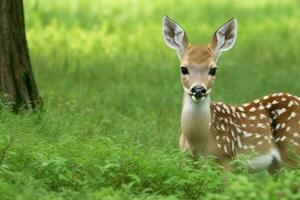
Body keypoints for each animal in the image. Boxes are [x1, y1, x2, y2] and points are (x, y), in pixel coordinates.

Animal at [163, 16, 298, 173]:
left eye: (213, 70)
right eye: (183, 69)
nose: (198, 90)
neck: (196, 141)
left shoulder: (225, 158)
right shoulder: (187, 160)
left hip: (293, 150)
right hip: (275, 164)